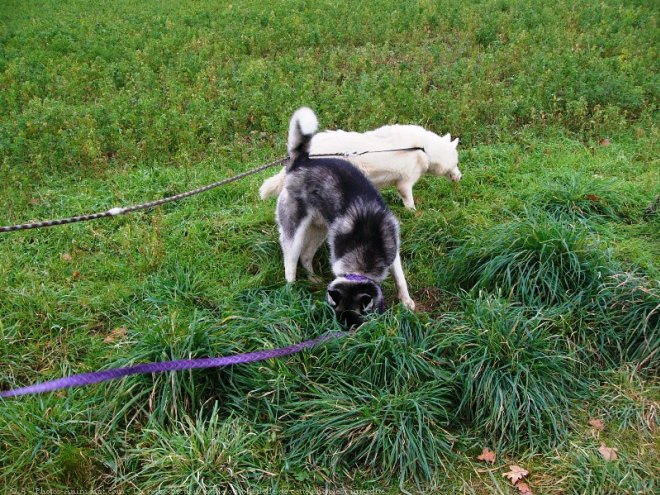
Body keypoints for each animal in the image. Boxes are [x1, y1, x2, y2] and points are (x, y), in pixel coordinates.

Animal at [260, 125, 462, 210]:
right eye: (457, 162)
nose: (461, 176)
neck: (424, 148)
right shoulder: (404, 184)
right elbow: (409, 202)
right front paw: (413, 213)